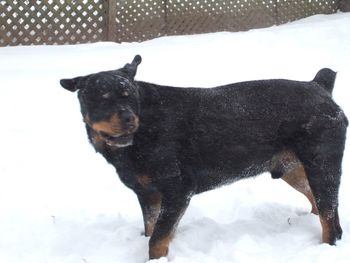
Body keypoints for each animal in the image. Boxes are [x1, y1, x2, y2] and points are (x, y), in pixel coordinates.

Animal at [60, 55, 348, 260]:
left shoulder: (177, 191)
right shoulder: (148, 195)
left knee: (328, 217)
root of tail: (319, 87)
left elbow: (156, 240)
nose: (130, 118)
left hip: (322, 165)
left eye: (130, 96)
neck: (143, 132)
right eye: (102, 98)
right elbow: (151, 229)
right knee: (319, 204)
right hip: (292, 169)